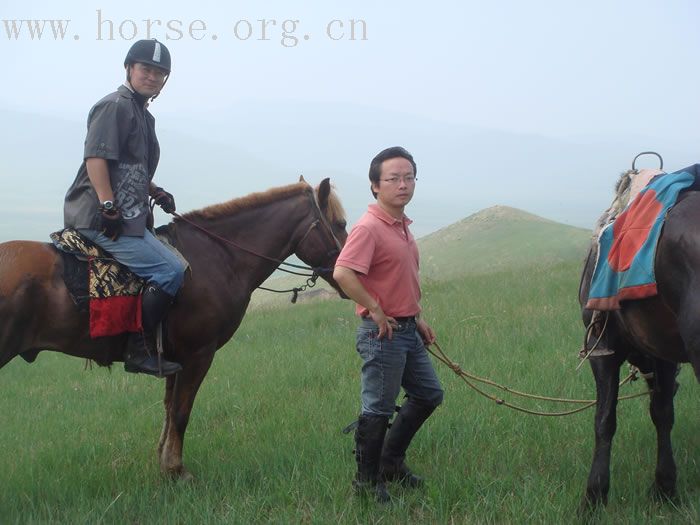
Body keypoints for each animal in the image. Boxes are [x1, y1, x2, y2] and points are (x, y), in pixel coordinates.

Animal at [0, 177, 348, 478]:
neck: (220, 256)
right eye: (341, 224)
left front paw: (164, 463)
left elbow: (169, 409)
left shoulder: (171, 358)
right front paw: (176, 470)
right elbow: (182, 412)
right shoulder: (198, 354)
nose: (350, 273)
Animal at [580, 167, 700, 504]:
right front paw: (665, 487)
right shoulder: (663, 353)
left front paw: (594, 495)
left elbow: (604, 419)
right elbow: (662, 414)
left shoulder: (601, 350)